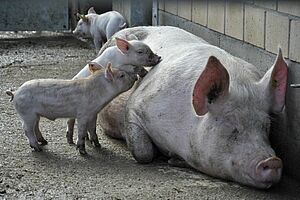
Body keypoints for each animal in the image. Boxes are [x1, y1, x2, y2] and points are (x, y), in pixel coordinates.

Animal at [6, 63, 137, 155]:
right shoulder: (83, 114)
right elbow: (82, 131)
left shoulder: (93, 114)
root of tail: (15, 92)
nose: (135, 76)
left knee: (35, 127)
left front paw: (98, 145)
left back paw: (44, 142)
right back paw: (38, 148)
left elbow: (92, 129)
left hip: (35, 115)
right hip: (27, 114)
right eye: (122, 75)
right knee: (27, 129)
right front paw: (83, 151)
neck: (98, 92)